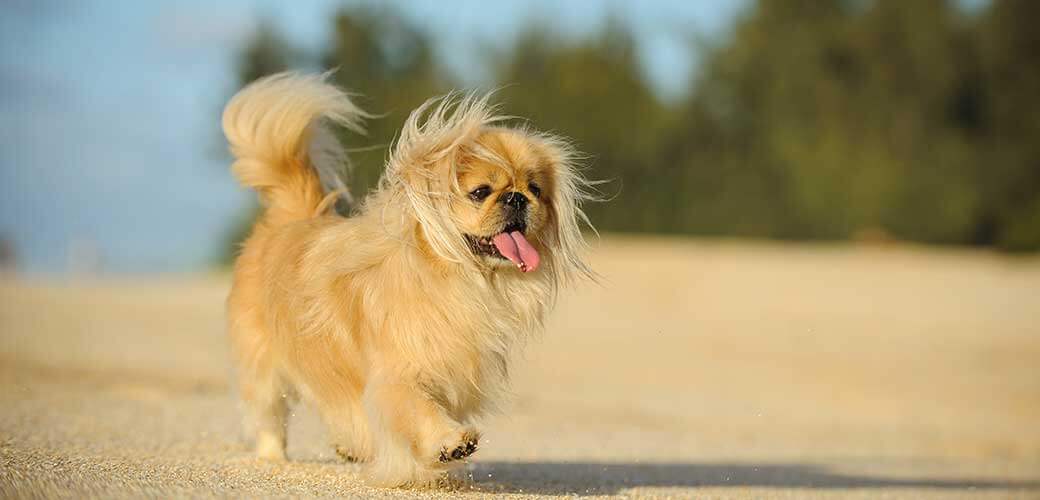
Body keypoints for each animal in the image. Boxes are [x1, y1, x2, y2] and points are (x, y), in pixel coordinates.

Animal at [221, 72, 594, 484]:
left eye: (535, 190)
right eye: (481, 192)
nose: (516, 198)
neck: (457, 278)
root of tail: (290, 218)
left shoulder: (453, 376)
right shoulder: (398, 377)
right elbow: (420, 410)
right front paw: (450, 444)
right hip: (263, 367)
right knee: (270, 418)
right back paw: (274, 459)